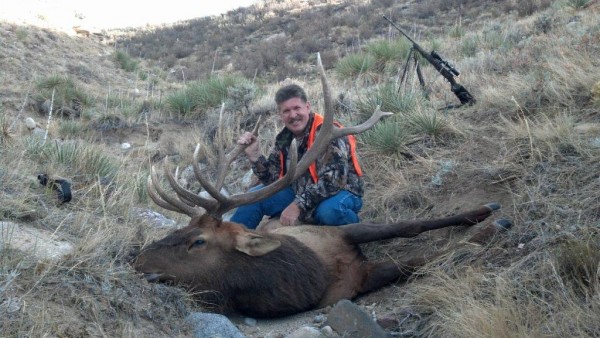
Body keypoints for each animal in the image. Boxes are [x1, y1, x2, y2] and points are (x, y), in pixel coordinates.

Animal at [132, 54, 510, 318]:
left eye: (197, 240)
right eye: (178, 231)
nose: (138, 260)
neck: (314, 272)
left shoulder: (336, 231)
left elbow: (410, 224)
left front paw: (487, 211)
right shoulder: (354, 283)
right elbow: (415, 260)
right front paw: (491, 227)